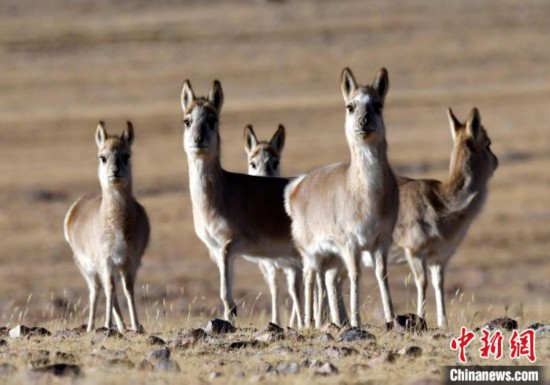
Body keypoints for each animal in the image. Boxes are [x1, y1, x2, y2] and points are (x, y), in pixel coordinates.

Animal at [64, 121, 150, 332]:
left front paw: (136, 325)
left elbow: (128, 290)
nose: (115, 172)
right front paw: (106, 324)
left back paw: (122, 327)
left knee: (109, 289)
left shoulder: (130, 262)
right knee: (96, 290)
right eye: (103, 157)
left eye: (126, 156)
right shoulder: (106, 261)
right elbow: (110, 290)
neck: (117, 226)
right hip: (88, 268)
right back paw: (91, 326)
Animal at [242, 124, 302, 328]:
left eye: (276, 162)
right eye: (253, 163)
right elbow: (275, 289)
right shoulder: (269, 264)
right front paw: (275, 322)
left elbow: (296, 292)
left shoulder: (294, 263)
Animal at [286, 67, 398, 326]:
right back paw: (310, 322)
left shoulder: (381, 241)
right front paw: (357, 321)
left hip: (332, 258)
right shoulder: (351, 244)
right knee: (309, 278)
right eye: (350, 106)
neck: (367, 197)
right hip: (312, 253)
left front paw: (392, 317)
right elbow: (357, 275)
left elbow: (382, 274)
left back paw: (335, 321)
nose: (364, 122)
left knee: (328, 279)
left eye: (378, 104)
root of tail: (297, 187)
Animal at [384, 108, 500, 328]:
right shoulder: (414, 252)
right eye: (488, 143)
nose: (497, 160)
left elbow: (439, 284)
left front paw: (443, 323)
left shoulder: (439, 257)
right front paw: (420, 319)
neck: (441, 200)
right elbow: (422, 282)